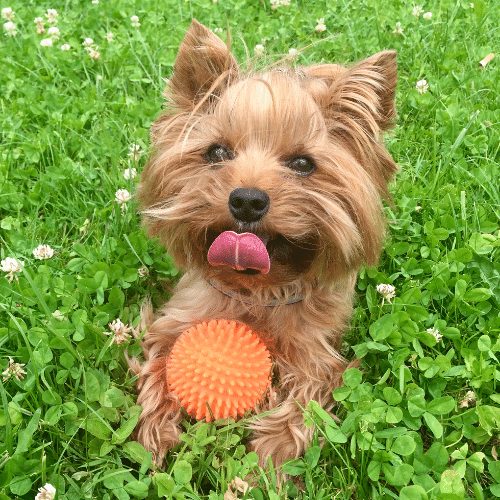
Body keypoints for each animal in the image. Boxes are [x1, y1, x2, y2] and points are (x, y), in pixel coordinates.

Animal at [131, 17, 396, 466]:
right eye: (216, 152)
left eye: (303, 163)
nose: (247, 200)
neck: (258, 288)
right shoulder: (179, 317)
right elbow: (159, 357)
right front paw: (155, 433)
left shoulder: (316, 354)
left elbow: (303, 404)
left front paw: (265, 464)